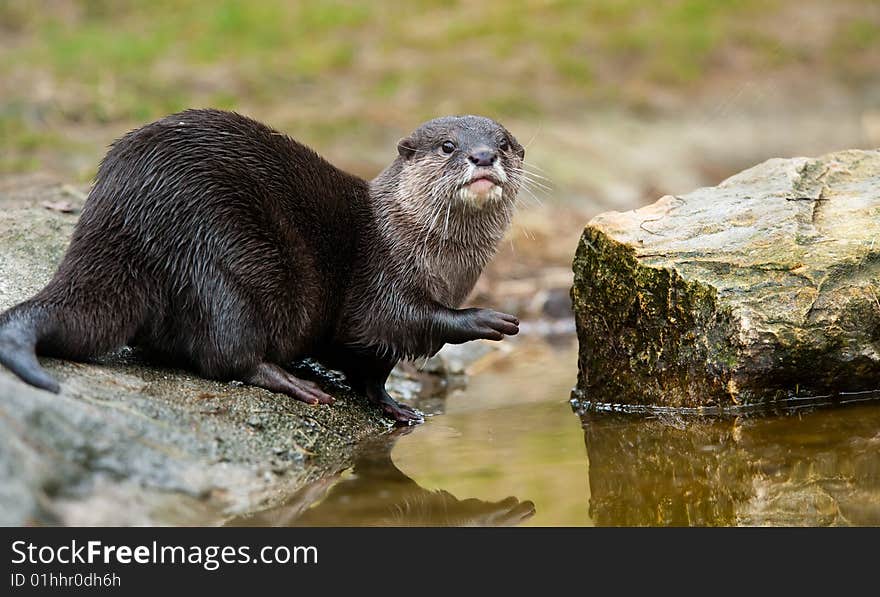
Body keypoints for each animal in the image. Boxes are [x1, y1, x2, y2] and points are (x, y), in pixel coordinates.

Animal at [0, 108, 524, 424]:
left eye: (505, 142)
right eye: (448, 146)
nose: (482, 155)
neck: (436, 266)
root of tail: (124, 215)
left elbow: (372, 374)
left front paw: (398, 409)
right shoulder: (380, 279)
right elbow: (393, 323)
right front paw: (481, 318)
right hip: (226, 259)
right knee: (225, 355)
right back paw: (290, 380)